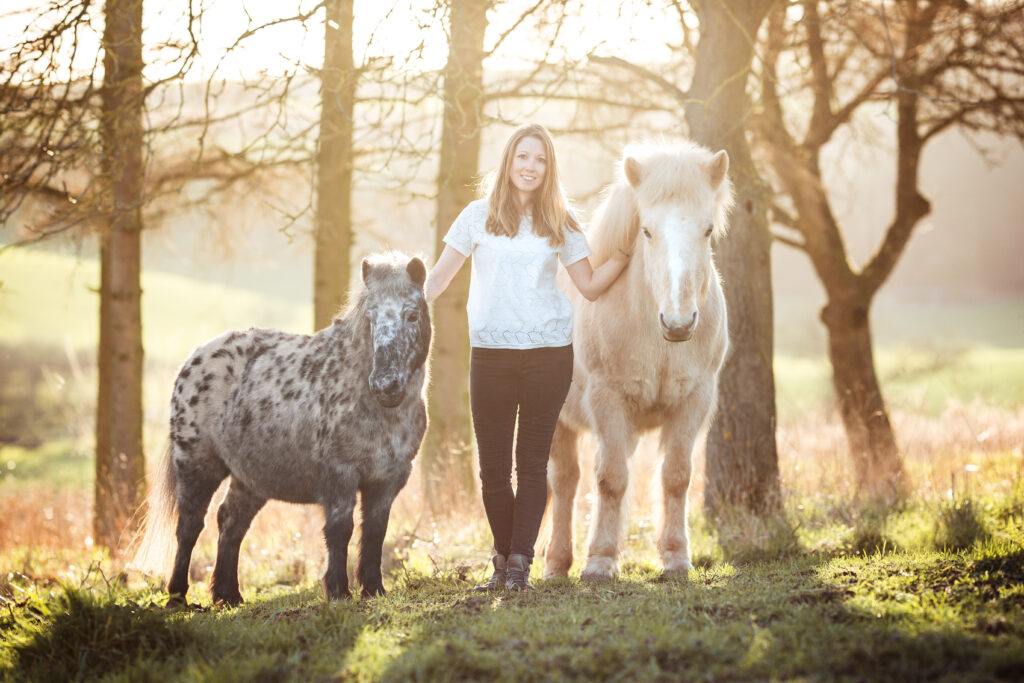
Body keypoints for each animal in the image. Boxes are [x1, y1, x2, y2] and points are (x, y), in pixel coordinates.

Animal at [131, 250, 428, 602]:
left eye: (412, 316)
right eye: (370, 319)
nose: (385, 386)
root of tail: (195, 359)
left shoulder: (387, 480)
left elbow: (374, 533)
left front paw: (373, 589)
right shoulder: (339, 475)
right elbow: (340, 530)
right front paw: (338, 591)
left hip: (250, 479)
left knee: (230, 522)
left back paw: (228, 595)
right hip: (197, 466)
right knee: (189, 527)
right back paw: (178, 595)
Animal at [548, 141, 733, 581]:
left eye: (707, 230)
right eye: (646, 231)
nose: (679, 323)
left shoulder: (694, 401)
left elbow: (677, 477)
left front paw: (676, 557)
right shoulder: (608, 402)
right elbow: (611, 479)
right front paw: (599, 562)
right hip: (559, 421)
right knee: (565, 482)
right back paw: (556, 563)